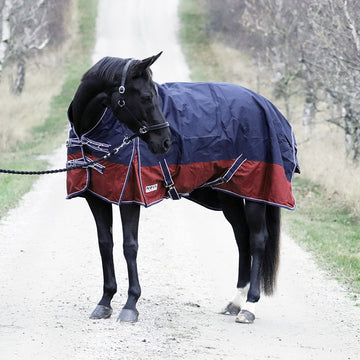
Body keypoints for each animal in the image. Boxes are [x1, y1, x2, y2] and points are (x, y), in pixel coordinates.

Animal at [67, 52, 298, 324]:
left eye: (153, 95)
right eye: (146, 97)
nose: (165, 141)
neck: (93, 133)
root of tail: (266, 105)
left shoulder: (131, 197)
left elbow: (129, 246)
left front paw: (131, 304)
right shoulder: (96, 198)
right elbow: (105, 244)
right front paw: (105, 301)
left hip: (256, 193)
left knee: (258, 240)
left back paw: (249, 306)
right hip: (230, 195)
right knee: (242, 237)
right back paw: (235, 302)